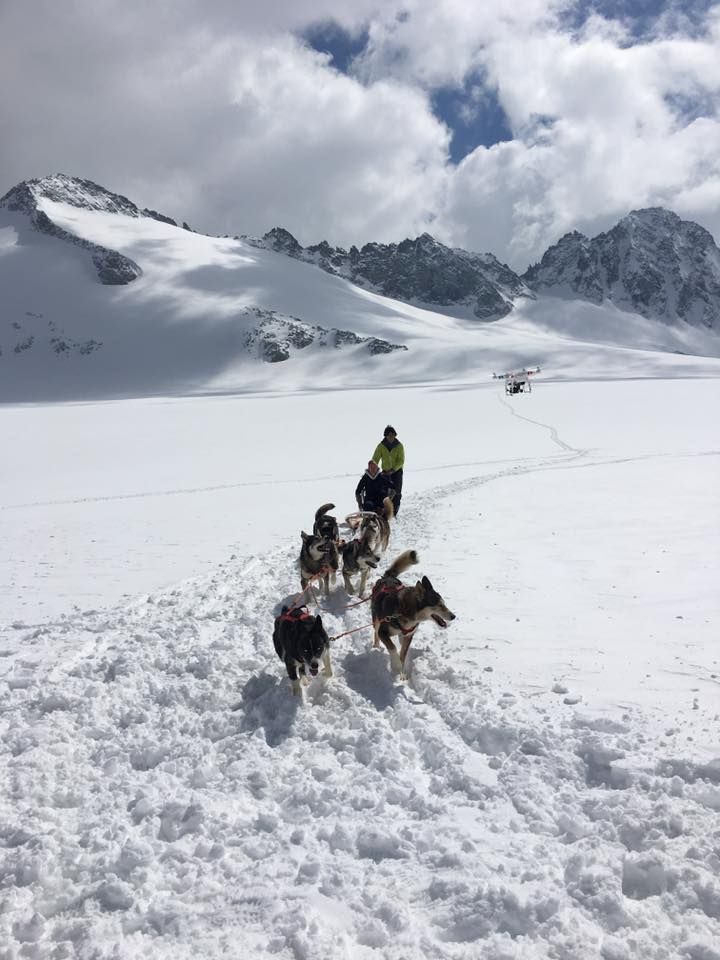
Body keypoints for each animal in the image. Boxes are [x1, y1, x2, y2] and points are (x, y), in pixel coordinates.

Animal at [371, 550, 456, 680]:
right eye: (439, 605)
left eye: (444, 604)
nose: (453, 616)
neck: (405, 611)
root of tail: (388, 577)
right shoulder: (383, 632)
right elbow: (393, 647)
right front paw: (396, 666)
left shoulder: (409, 635)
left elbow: (403, 654)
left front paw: (402, 674)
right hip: (376, 619)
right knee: (375, 631)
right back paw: (376, 646)